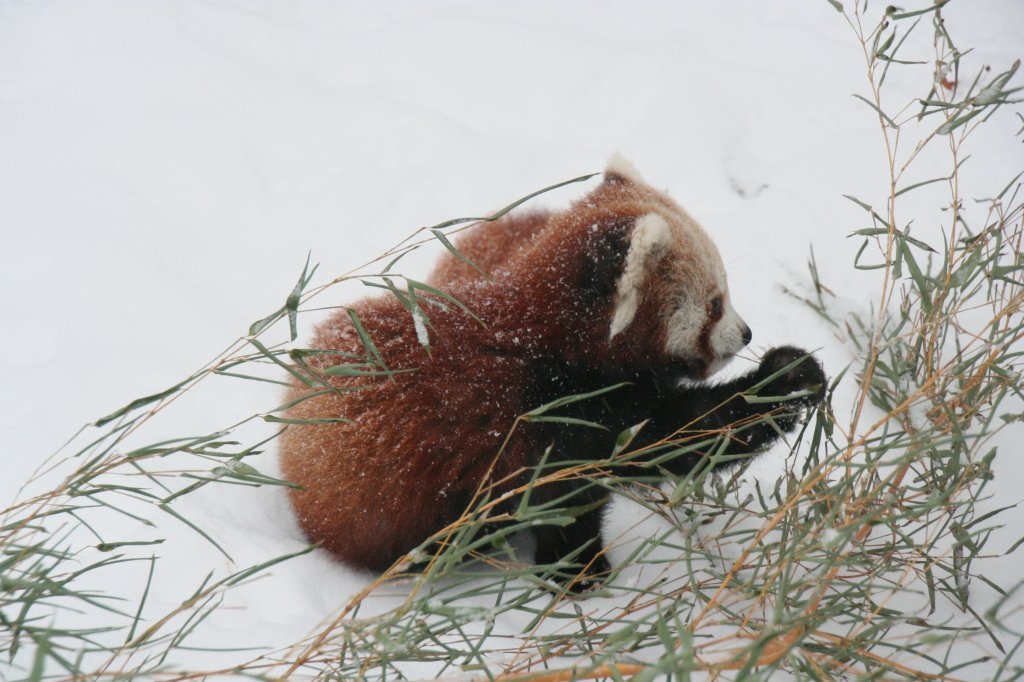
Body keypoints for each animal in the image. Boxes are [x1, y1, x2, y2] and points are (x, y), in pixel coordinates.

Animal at [280, 157, 823, 585]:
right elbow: (668, 443)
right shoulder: (556, 416)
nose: (747, 334)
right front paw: (580, 573)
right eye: (715, 304)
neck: (544, 342)